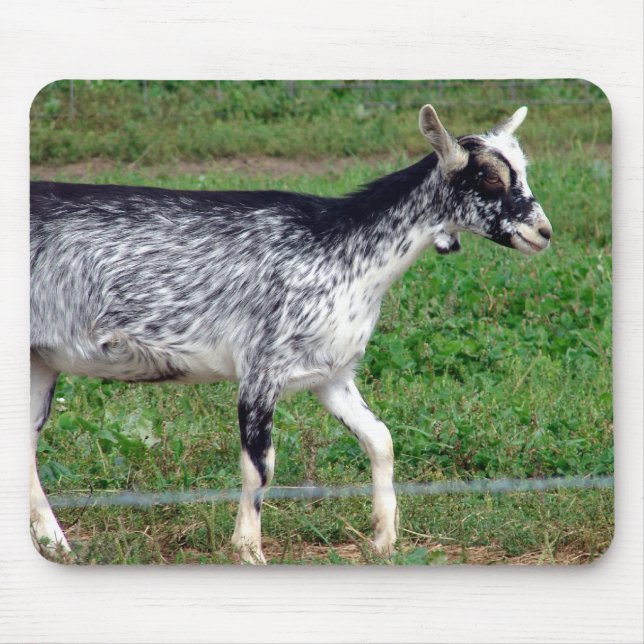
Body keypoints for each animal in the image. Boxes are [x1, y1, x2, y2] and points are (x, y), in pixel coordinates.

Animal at [30, 105, 552, 563]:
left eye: (522, 171)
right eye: (490, 177)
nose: (544, 232)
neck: (336, 249)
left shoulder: (332, 375)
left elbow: (380, 438)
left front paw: (384, 539)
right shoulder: (261, 371)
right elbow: (261, 465)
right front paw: (249, 551)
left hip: (40, 361)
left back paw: (56, 544)